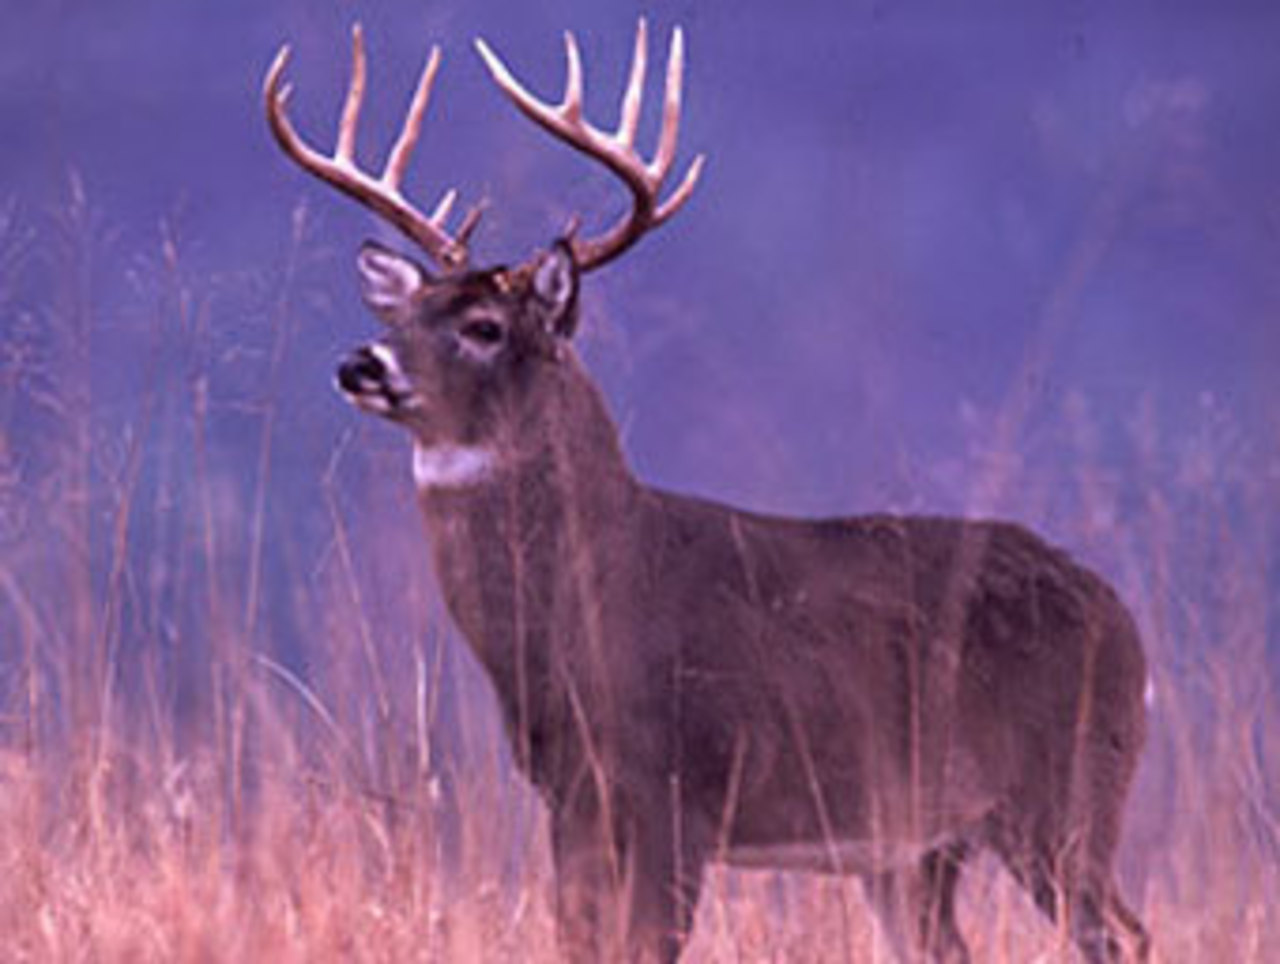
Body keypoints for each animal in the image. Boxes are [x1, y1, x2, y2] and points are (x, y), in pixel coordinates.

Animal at [263, 21, 1151, 964]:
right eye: (402, 315)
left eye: (483, 327)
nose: (361, 363)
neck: (588, 605)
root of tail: (1127, 627)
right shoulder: (571, 798)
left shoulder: (675, 786)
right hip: (920, 849)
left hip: (1065, 795)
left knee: (1125, 934)